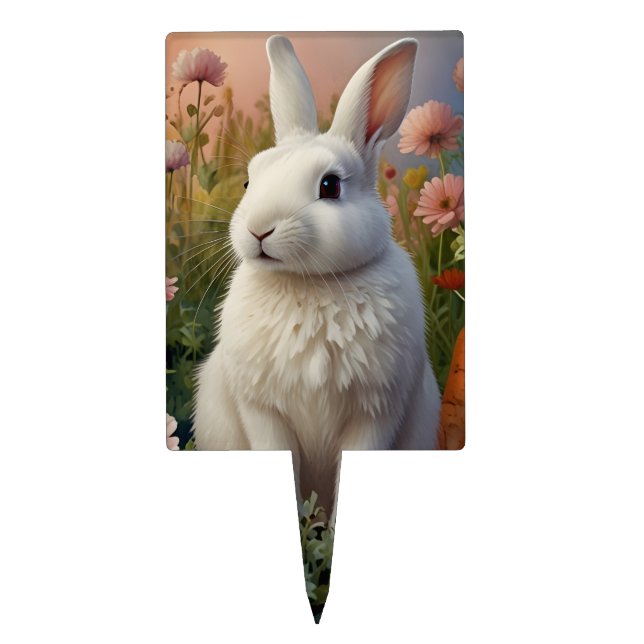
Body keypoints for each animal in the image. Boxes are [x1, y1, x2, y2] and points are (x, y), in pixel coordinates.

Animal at [193, 35, 441, 523]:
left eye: (330, 187)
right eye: (248, 182)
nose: (260, 230)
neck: (307, 283)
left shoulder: (376, 411)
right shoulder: (262, 410)